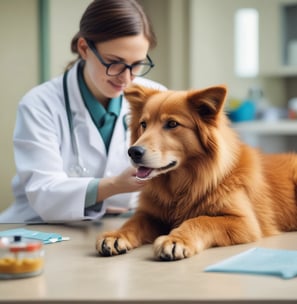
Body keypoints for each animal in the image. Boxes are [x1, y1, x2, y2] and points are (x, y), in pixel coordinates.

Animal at [95, 83, 296, 262]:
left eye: (172, 124)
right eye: (143, 124)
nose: (133, 152)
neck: (184, 184)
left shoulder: (244, 222)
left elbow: (201, 220)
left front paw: (176, 240)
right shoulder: (151, 215)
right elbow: (132, 222)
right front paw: (116, 235)